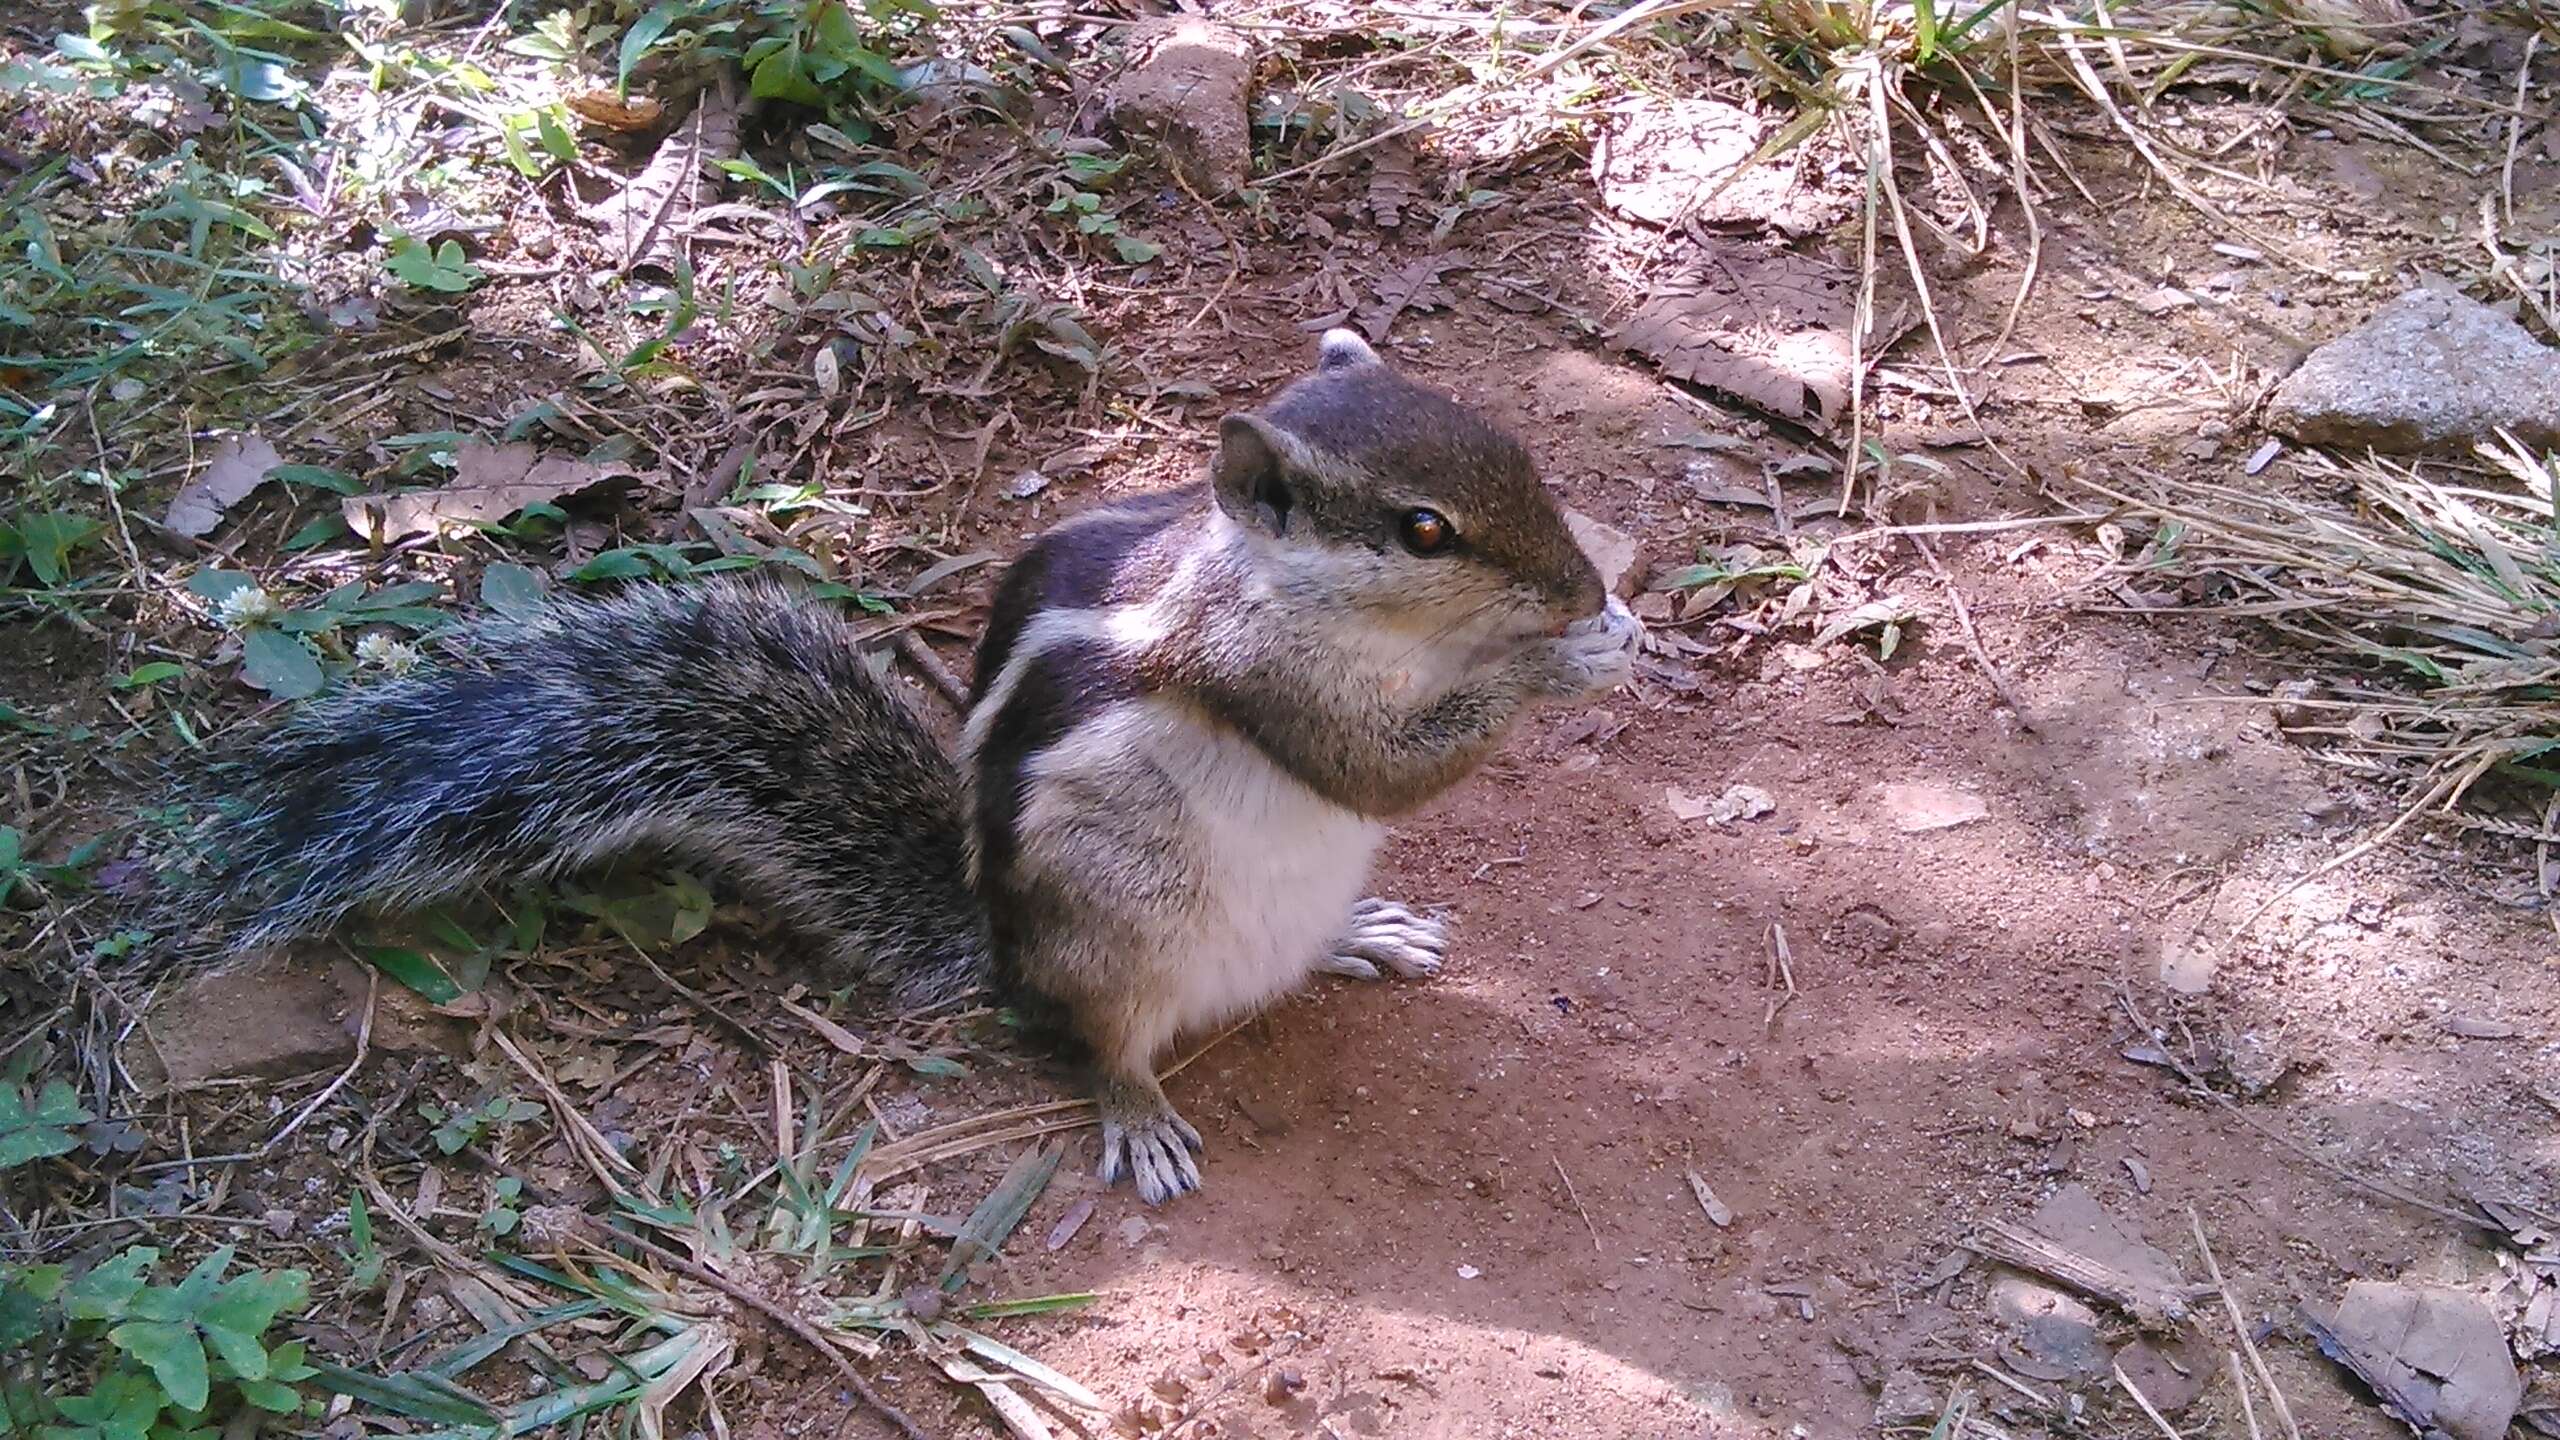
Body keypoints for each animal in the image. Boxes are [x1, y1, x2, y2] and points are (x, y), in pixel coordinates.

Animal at [165, 330, 1638, 1204]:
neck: (1282, 589)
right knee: (1099, 1038)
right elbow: (1372, 769)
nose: (1575, 589)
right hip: (1112, 941)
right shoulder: (1264, 685)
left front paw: (1610, 622)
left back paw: (1356, 935)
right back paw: (1138, 1108)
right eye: (1425, 529)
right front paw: (1569, 662)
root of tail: (999, 947)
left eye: (1514, 450)